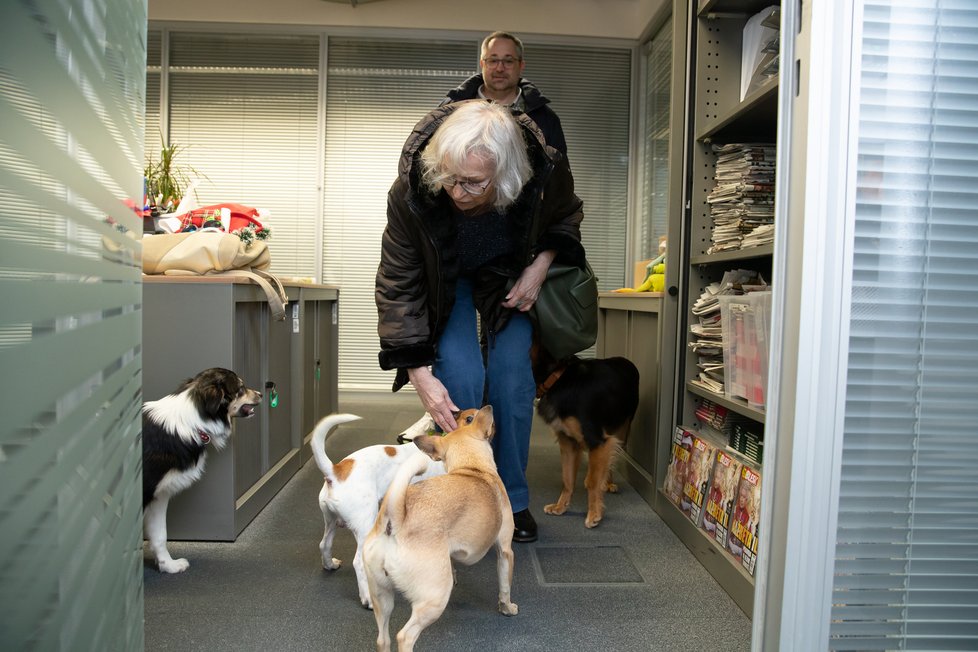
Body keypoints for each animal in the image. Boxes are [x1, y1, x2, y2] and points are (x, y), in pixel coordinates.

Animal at [142, 370, 262, 572]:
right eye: (240, 388)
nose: (261, 394)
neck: (190, 423)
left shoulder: (159, 494)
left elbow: (159, 535)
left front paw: (169, 566)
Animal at [308, 410, 476, 608]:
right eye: (470, 418)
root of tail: (335, 472)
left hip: (331, 521)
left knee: (324, 544)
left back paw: (330, 565)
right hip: (365, 526)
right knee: (358, 562)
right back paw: (368, 598)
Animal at [364, 404, 520, 648]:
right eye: (470, 417)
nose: (455, 412)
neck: (472, 468)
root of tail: (396, 521)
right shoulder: (505, 551)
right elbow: (505, 586)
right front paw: (507, 608)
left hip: (381, 597)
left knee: (383, 638)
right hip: (434, 598)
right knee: (404, 636)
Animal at [532, 344, 640, 528]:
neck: (558, 379)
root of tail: (626, 361)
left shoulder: (598, 441)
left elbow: (592, 481)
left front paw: (594, 514)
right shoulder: (568, 443)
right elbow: (567, 478)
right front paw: (561, 507)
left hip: (621, 431)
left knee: (611, 457)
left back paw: (607, 483)